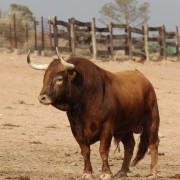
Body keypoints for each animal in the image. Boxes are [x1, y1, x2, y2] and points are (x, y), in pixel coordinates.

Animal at [26, 48, 159, 179]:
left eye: (59, 79)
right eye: (45, 78)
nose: (42, 97)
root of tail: (144, 79)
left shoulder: (107, 128)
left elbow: (103, 150)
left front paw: (106, 173)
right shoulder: (76, 130)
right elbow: (85, 151)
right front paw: (87, 172)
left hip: (151, 122)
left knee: (153, 143)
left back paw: (152, 172)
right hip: (125, 128)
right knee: (129, 146)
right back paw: (122, 171)